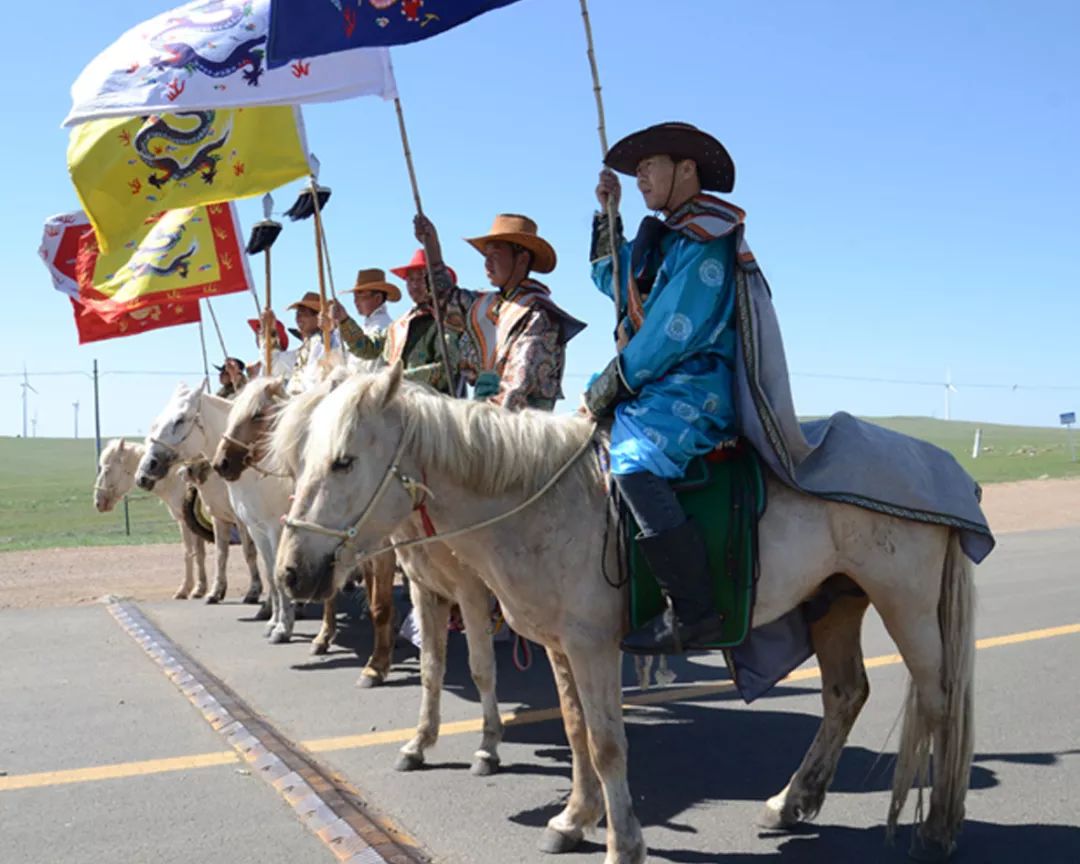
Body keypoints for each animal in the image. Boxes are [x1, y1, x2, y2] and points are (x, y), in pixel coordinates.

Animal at [95, 438, 210, 600]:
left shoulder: (190, 523)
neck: (175, 480)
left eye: (107, 470)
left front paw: (194, 589)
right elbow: (192, 553)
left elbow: (194, 553)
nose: (97, 502)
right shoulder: (186, 523)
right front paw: (191, 589)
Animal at [274, 362, 976, 864]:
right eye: (298, 461)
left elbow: (609, 743)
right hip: (834, 601)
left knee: (939, 698)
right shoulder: (559, 645)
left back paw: (939, 828)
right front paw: (573, 820)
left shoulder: (592, 647)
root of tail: (940, 465)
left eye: (344, 460)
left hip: (906, 603)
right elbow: (576, 731)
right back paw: (788, 803)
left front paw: (622, 843)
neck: (541, 501)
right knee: (845, 695)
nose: (291, 573)